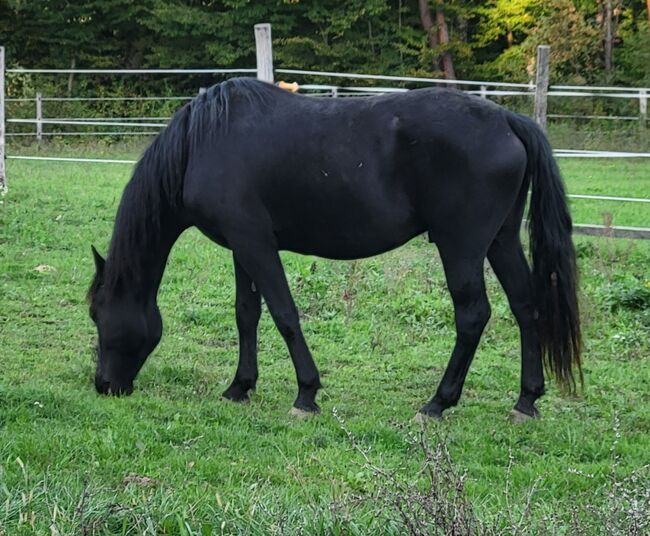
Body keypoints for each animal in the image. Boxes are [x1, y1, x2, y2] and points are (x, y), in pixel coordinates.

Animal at [86, 77, 576, 420]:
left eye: (97, 314)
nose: (104, 385)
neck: (203, 142)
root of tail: (508, 121)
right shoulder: (240, 246)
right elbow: (247, 314)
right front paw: (240, 387)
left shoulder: (255, 243)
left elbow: (284, 313)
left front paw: (306, 394)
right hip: (501, 240)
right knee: (526, 306)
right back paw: (526, 400)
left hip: (462, 247)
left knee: (473, 316)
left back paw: (438, 403)